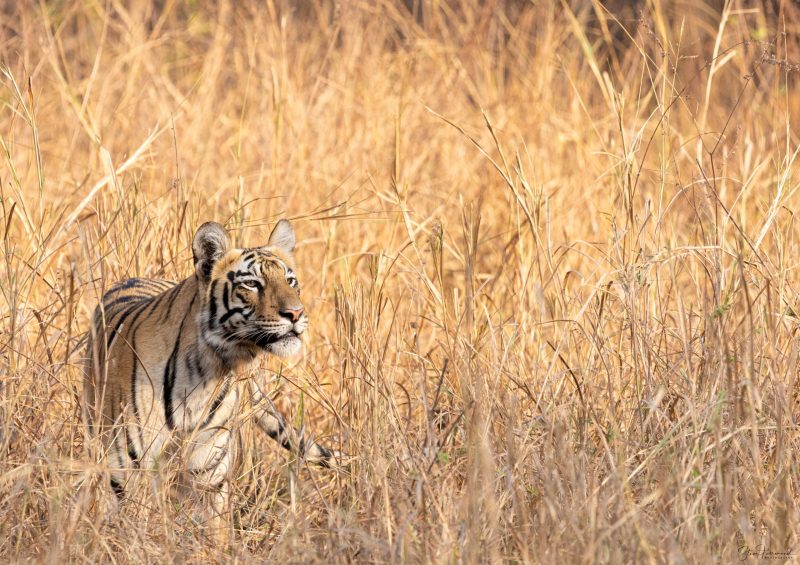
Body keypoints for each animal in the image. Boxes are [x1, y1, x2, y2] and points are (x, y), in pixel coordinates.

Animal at [83, 219, 333, 535]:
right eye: (252, 284)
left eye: (291, 280)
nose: (296, 313)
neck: (207, 371)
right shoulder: (132, 474)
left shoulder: (209, 476)